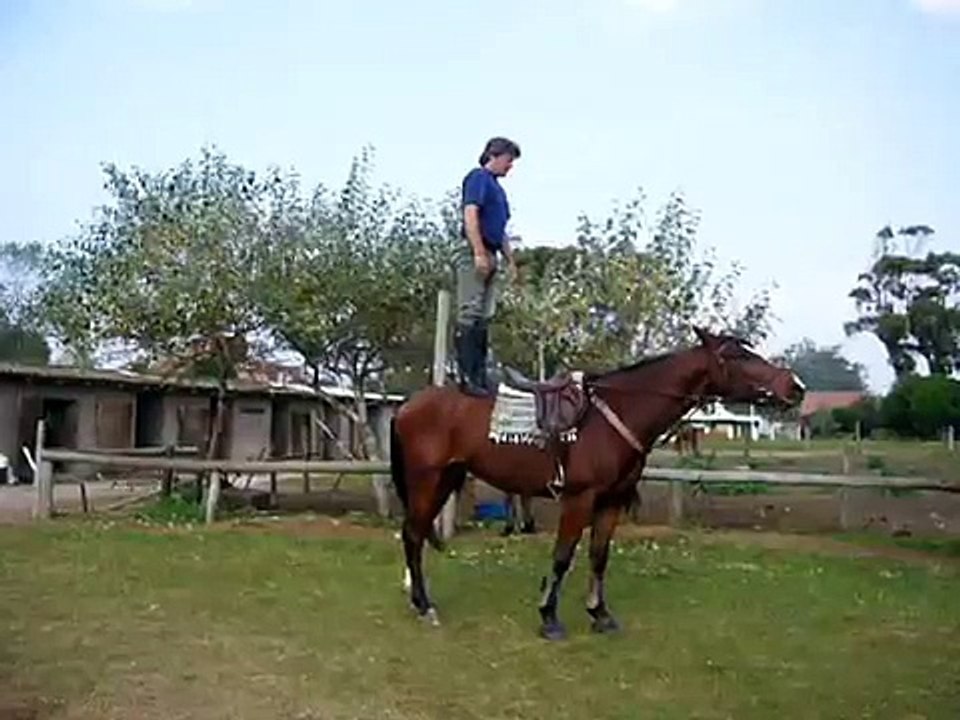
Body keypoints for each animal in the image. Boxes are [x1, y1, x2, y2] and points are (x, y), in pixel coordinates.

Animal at [389, 327, 805, 640]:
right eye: (736, 355)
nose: (795, 385)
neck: (614, 414)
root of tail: (408, 405)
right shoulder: (579, 499)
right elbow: (562, 557)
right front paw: (549, 618)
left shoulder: (611, 501)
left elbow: (598, 556)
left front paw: (600, 614)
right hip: (426, 481)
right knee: (412, 534)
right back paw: (425, 605)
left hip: (446, 479)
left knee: (417, 533)